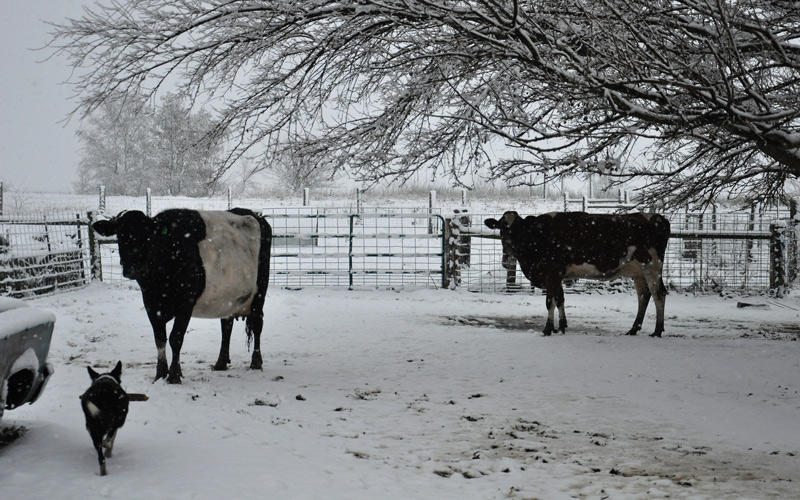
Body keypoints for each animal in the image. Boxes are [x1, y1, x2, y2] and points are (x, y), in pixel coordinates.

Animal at [92, 208, 272, 384]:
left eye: (147, 235)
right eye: (119, 234)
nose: (133, 267)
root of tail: (255, 215)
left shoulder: (186, 303)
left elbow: (175, 338)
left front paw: (174, 376)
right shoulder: (151, 304)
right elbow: (159, 339)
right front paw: (160, 375)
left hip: (260, 290)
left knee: (257, 323)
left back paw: (256, 363)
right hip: (228, 299)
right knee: (226, 325)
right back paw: (220, 363)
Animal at [484, 211, 670, 337]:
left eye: (519, 230)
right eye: (501, 229)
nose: (508, 252)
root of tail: (658, 217)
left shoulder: (552, 274)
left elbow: (550, 302)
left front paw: (548, 329)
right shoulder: (558, 275)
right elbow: (560, 299)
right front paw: (561, 327)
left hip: (652, 266)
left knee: (658, 294)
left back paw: (657, 331)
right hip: (638, 272)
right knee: (643, 296)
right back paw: (633, 329)